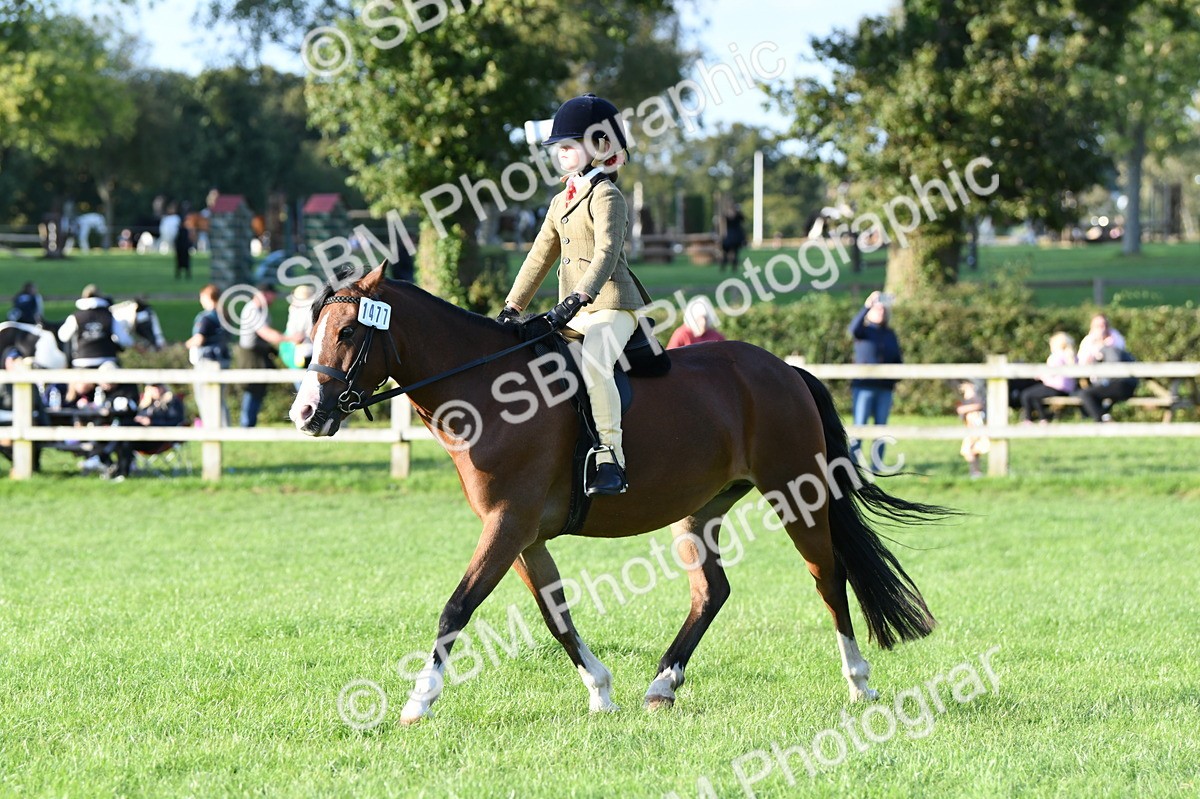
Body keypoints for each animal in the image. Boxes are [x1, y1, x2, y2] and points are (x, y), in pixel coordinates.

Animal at [290, 265, 952, 724]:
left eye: (348, 329)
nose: (305, 414)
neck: (487, 389)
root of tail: (785, 369)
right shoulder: (523, 535)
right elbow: (555, 616)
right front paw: (601, 693)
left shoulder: (507, 524)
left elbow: (457, 607)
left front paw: (418, 702)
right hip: (698, 511)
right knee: (712, 591)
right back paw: (661, 685)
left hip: (796, 494)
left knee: (828, 576)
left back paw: (858, 680)